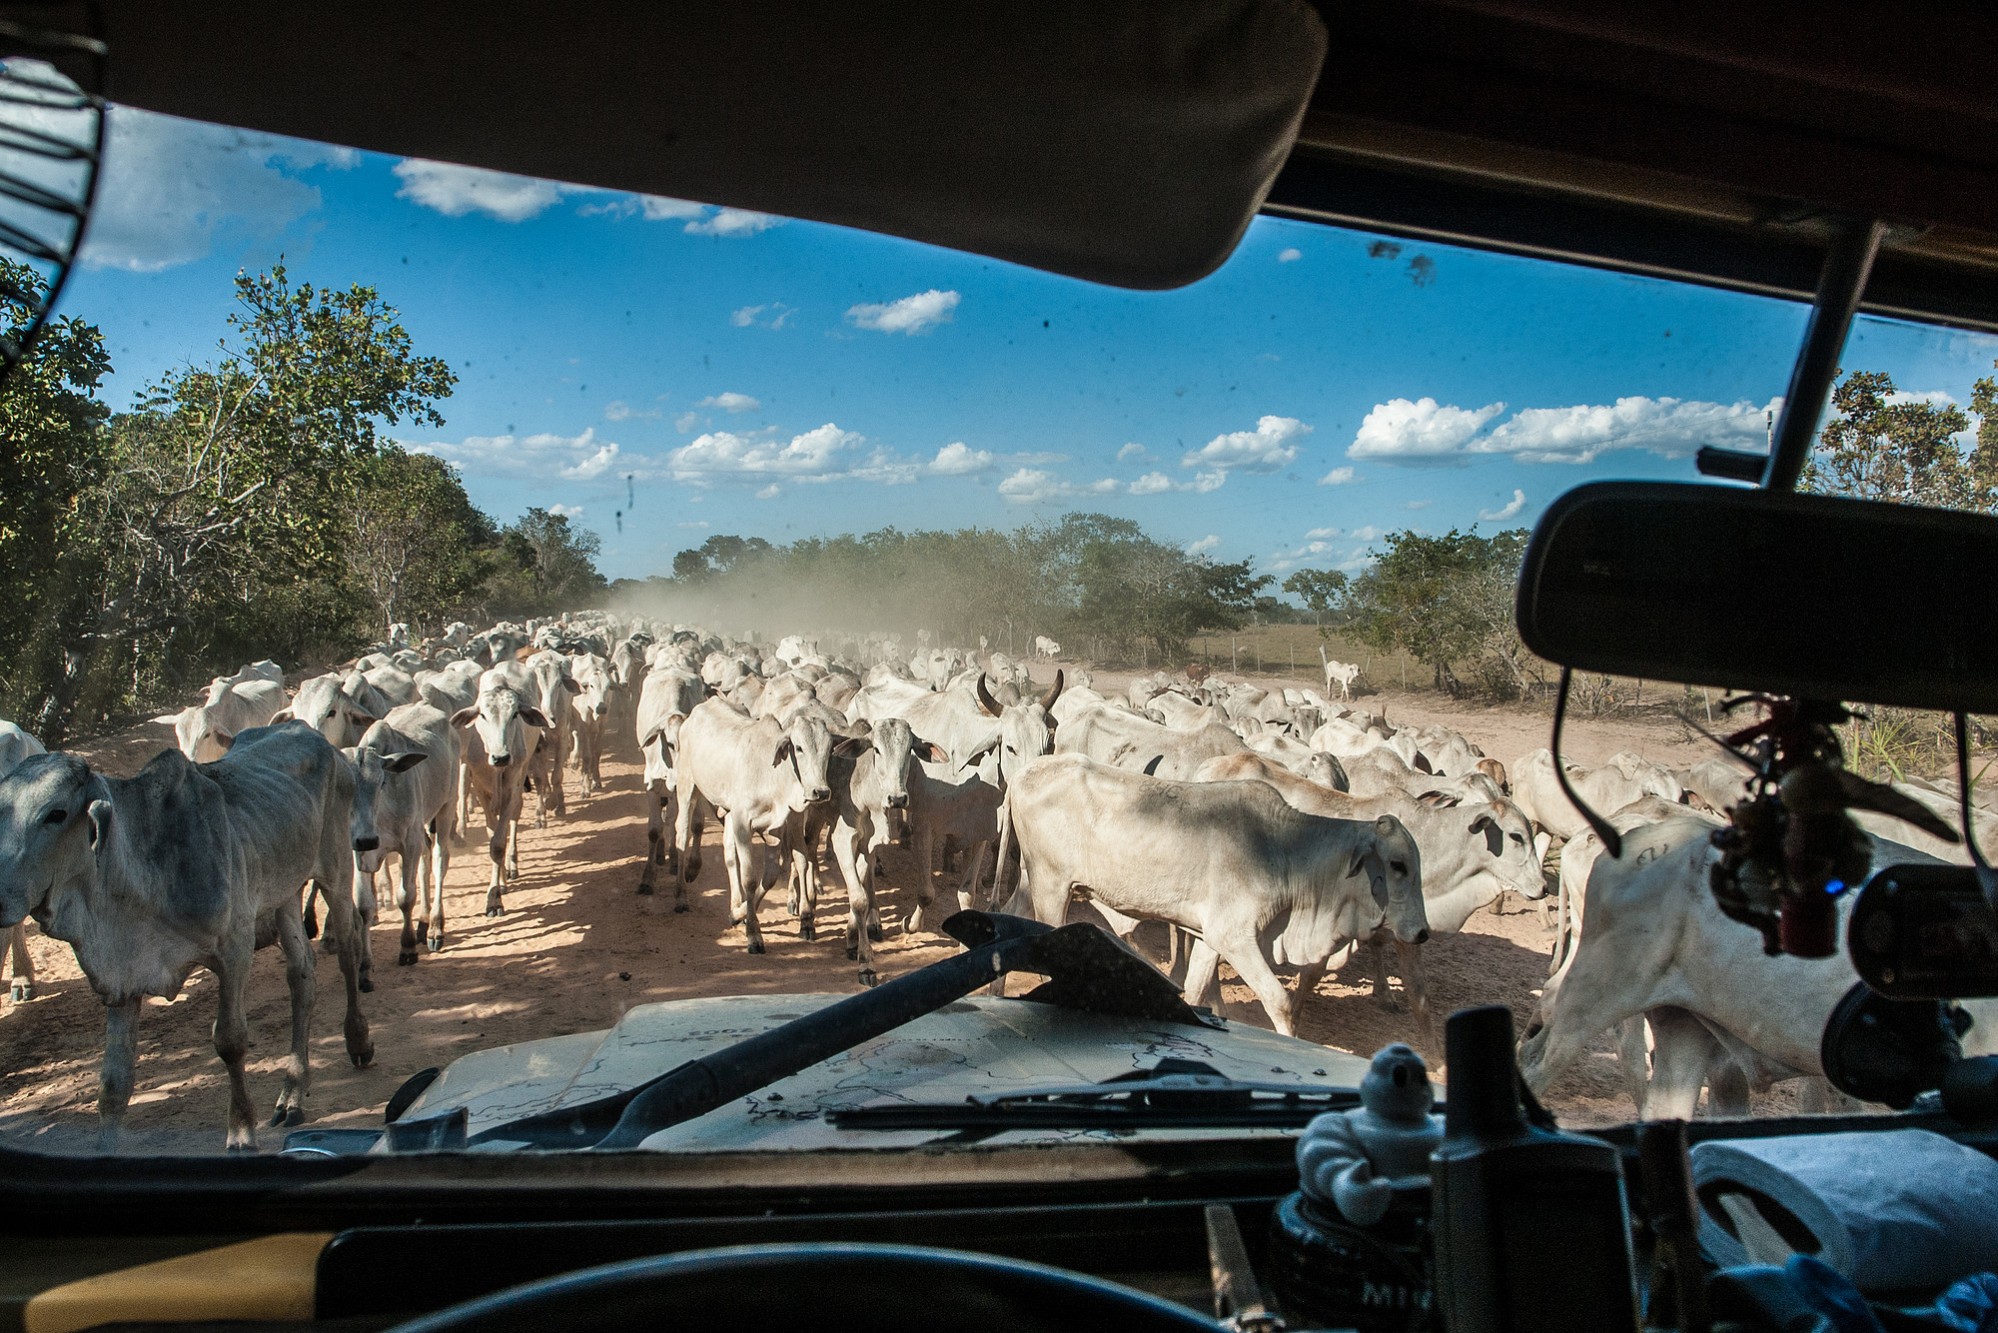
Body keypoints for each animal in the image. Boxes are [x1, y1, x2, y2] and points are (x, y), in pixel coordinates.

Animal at [0, 723, 371, 1151]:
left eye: (55, 814)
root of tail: (312, 734)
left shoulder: (234, 950)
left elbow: (230, 1041)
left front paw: (241, 1132)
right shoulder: (122, 979)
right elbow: (114, 1081)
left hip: (336, 871)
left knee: (347, 954)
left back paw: (358, 1040)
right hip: (284, 893)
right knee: (302, 976)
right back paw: (292, 1093)